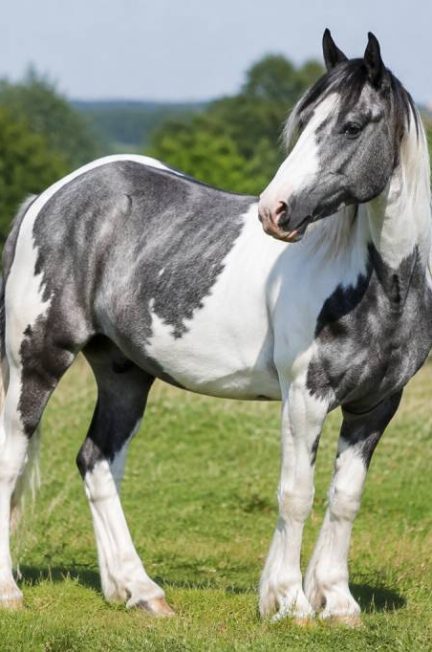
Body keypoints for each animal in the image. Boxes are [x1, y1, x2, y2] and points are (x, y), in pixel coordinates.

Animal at [0, 30, 430, 625]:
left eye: (351, 125)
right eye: (305, 120)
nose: (275, 211)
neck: (377, 287)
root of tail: (49, 197)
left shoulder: (377, 405)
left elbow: (344, 499)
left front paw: (337, 601)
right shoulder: (306, 398)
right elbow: (296, 494)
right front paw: (289, 601)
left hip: (124, 372)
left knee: (97, 460)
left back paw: (137, 590)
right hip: (37, 361)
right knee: (11, 461)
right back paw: (9, 593)